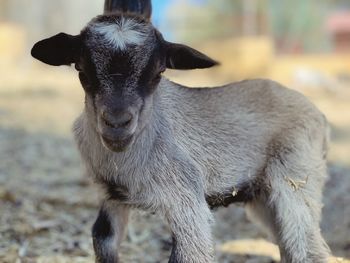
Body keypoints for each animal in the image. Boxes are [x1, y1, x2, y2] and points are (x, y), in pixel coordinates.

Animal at [31, 1, 330, 262]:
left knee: (308, 246)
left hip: (295, 178)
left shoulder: (187, 200)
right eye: (82, 69)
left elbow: (190, 253)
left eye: (158, 72)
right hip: (264, 196)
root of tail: (319, 115)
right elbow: (103, 240)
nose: (117, 123)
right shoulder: (111, 197)